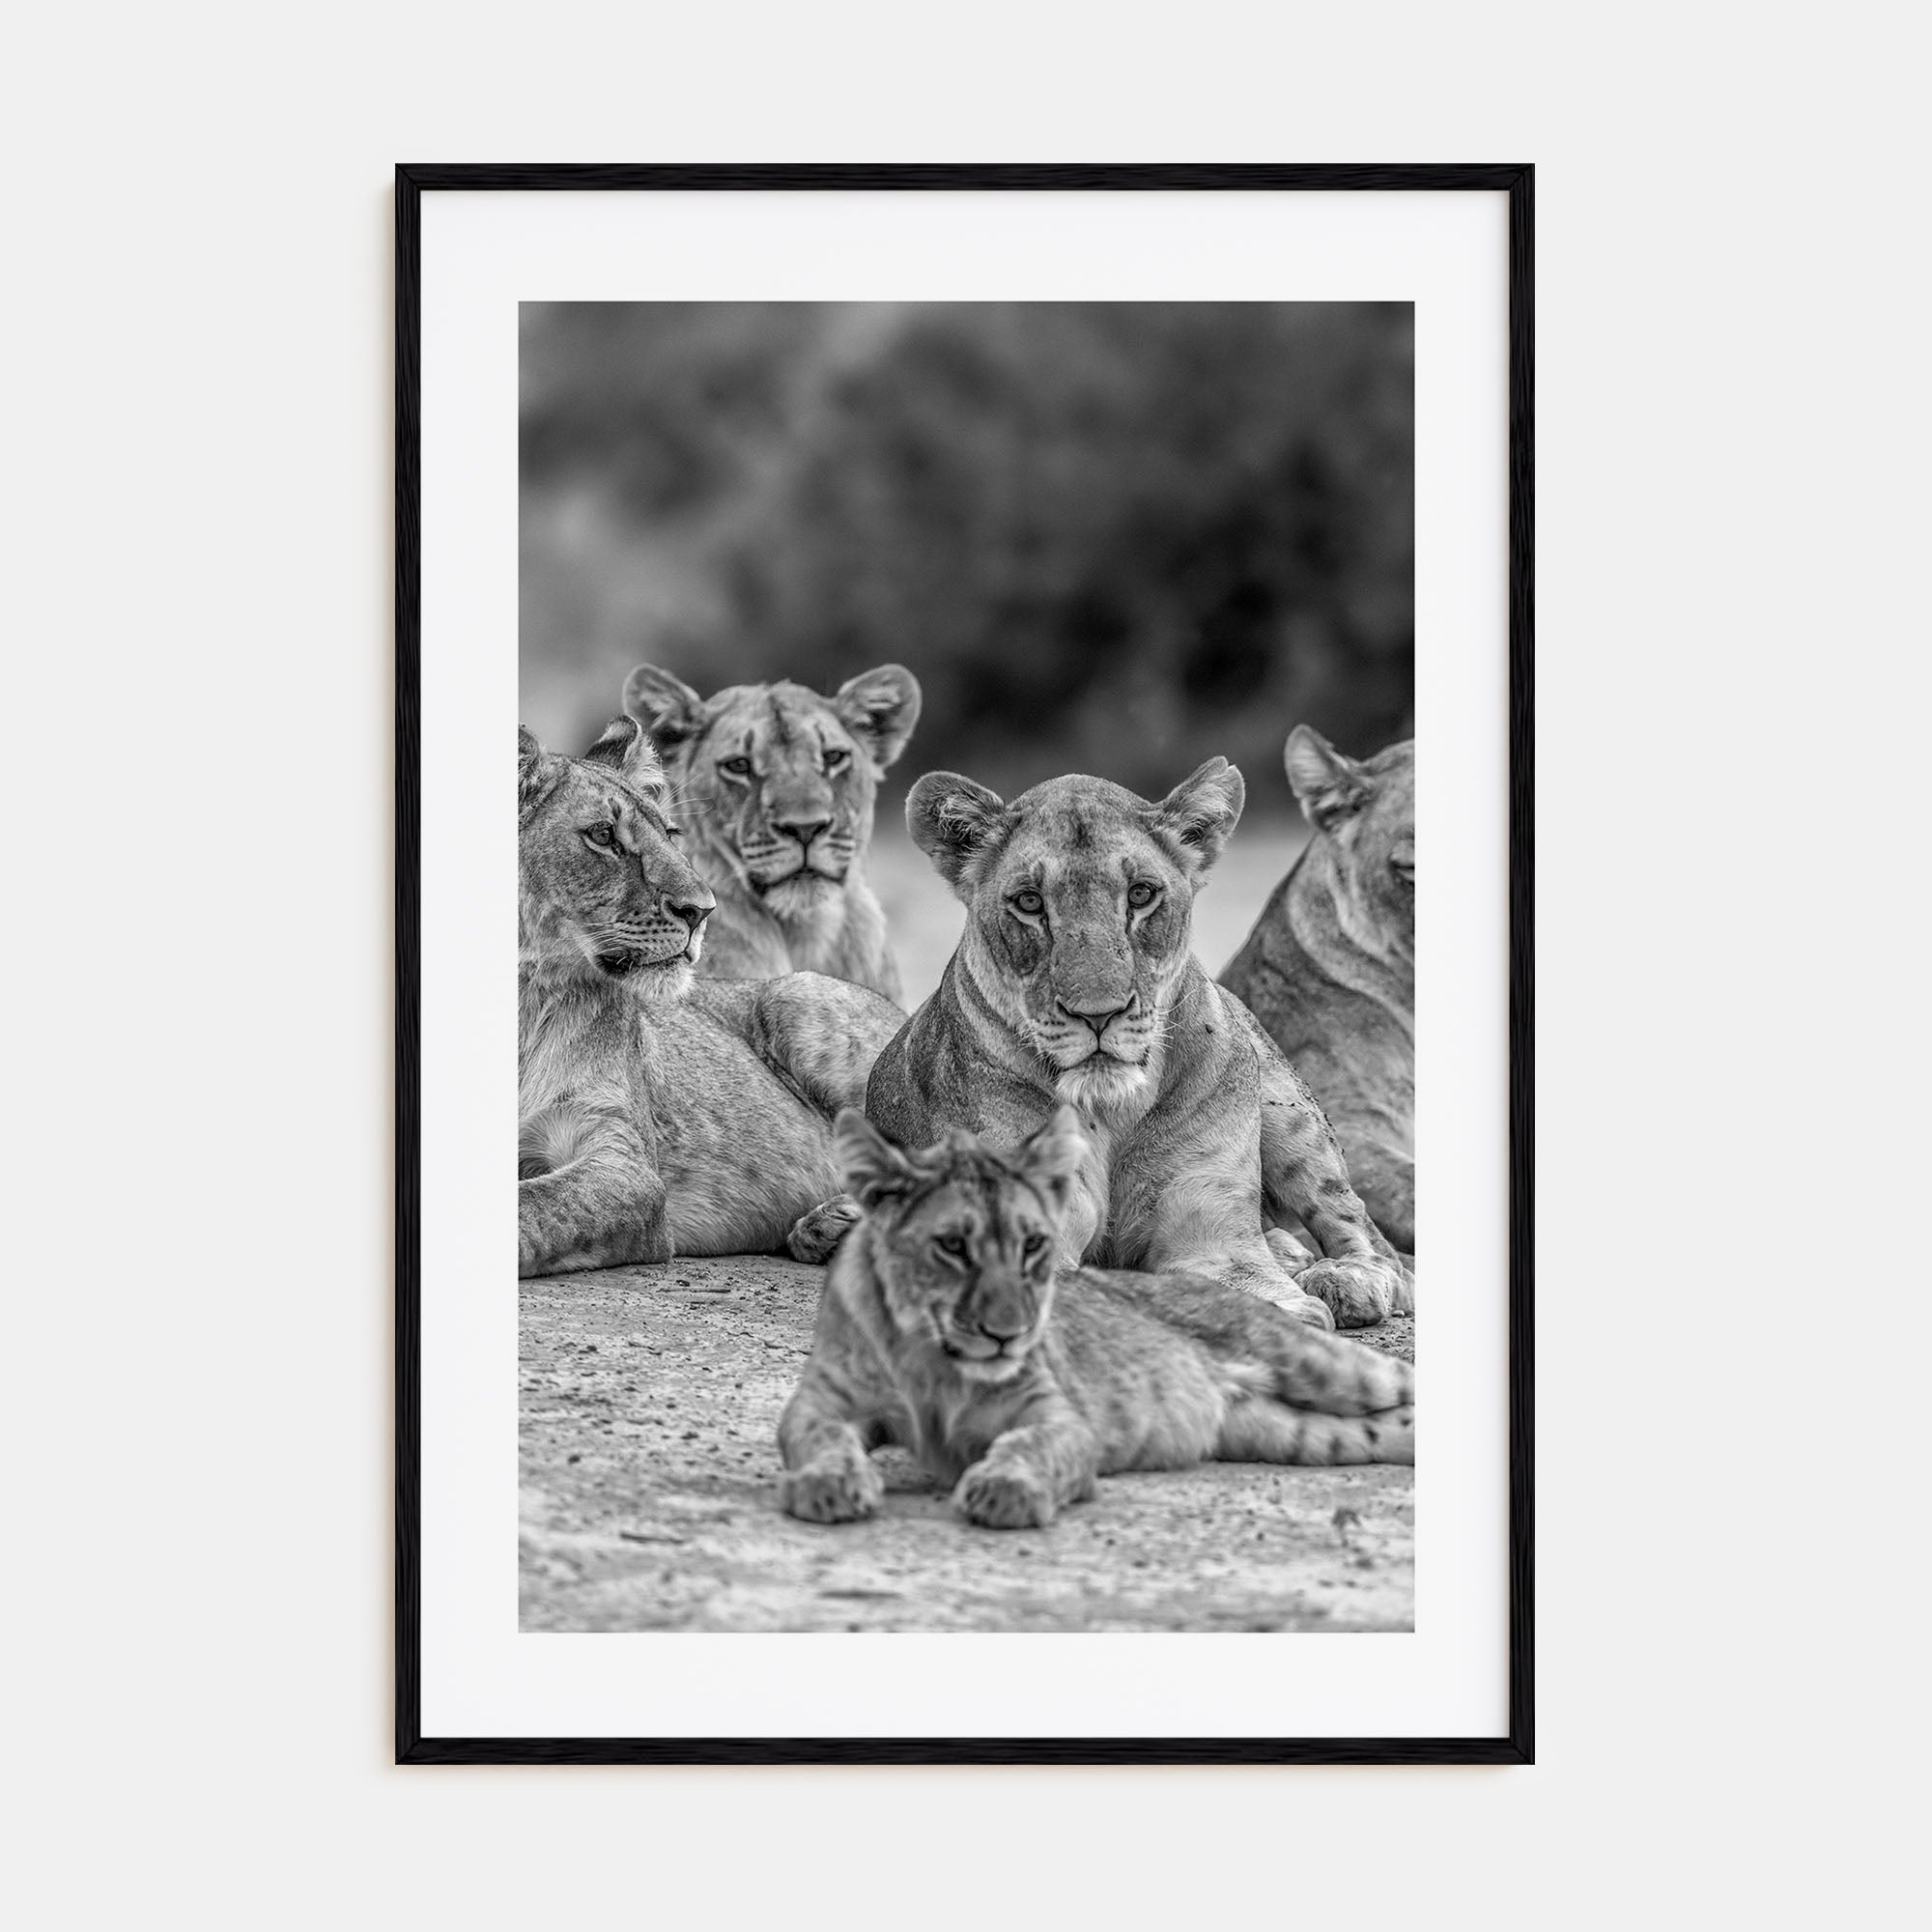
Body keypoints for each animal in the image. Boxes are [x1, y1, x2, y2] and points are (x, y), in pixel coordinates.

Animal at [517, 716, 904, 1278]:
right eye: (603, 836)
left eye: (671, 834)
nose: (702, 910)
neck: (523, 998)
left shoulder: (627, 1166)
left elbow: (531, 1206)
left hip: (795, 994)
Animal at [778, 1108, 1414, 1529]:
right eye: (953, 1246)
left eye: (1033, 1244)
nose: (1009, 1331)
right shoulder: (820, 1405)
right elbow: (819, 1437)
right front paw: (830, 1485)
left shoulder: (1060, 1417)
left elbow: (1033, 1447)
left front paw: (1005, 1491)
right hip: (1288, 1432)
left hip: (1322, 1360)